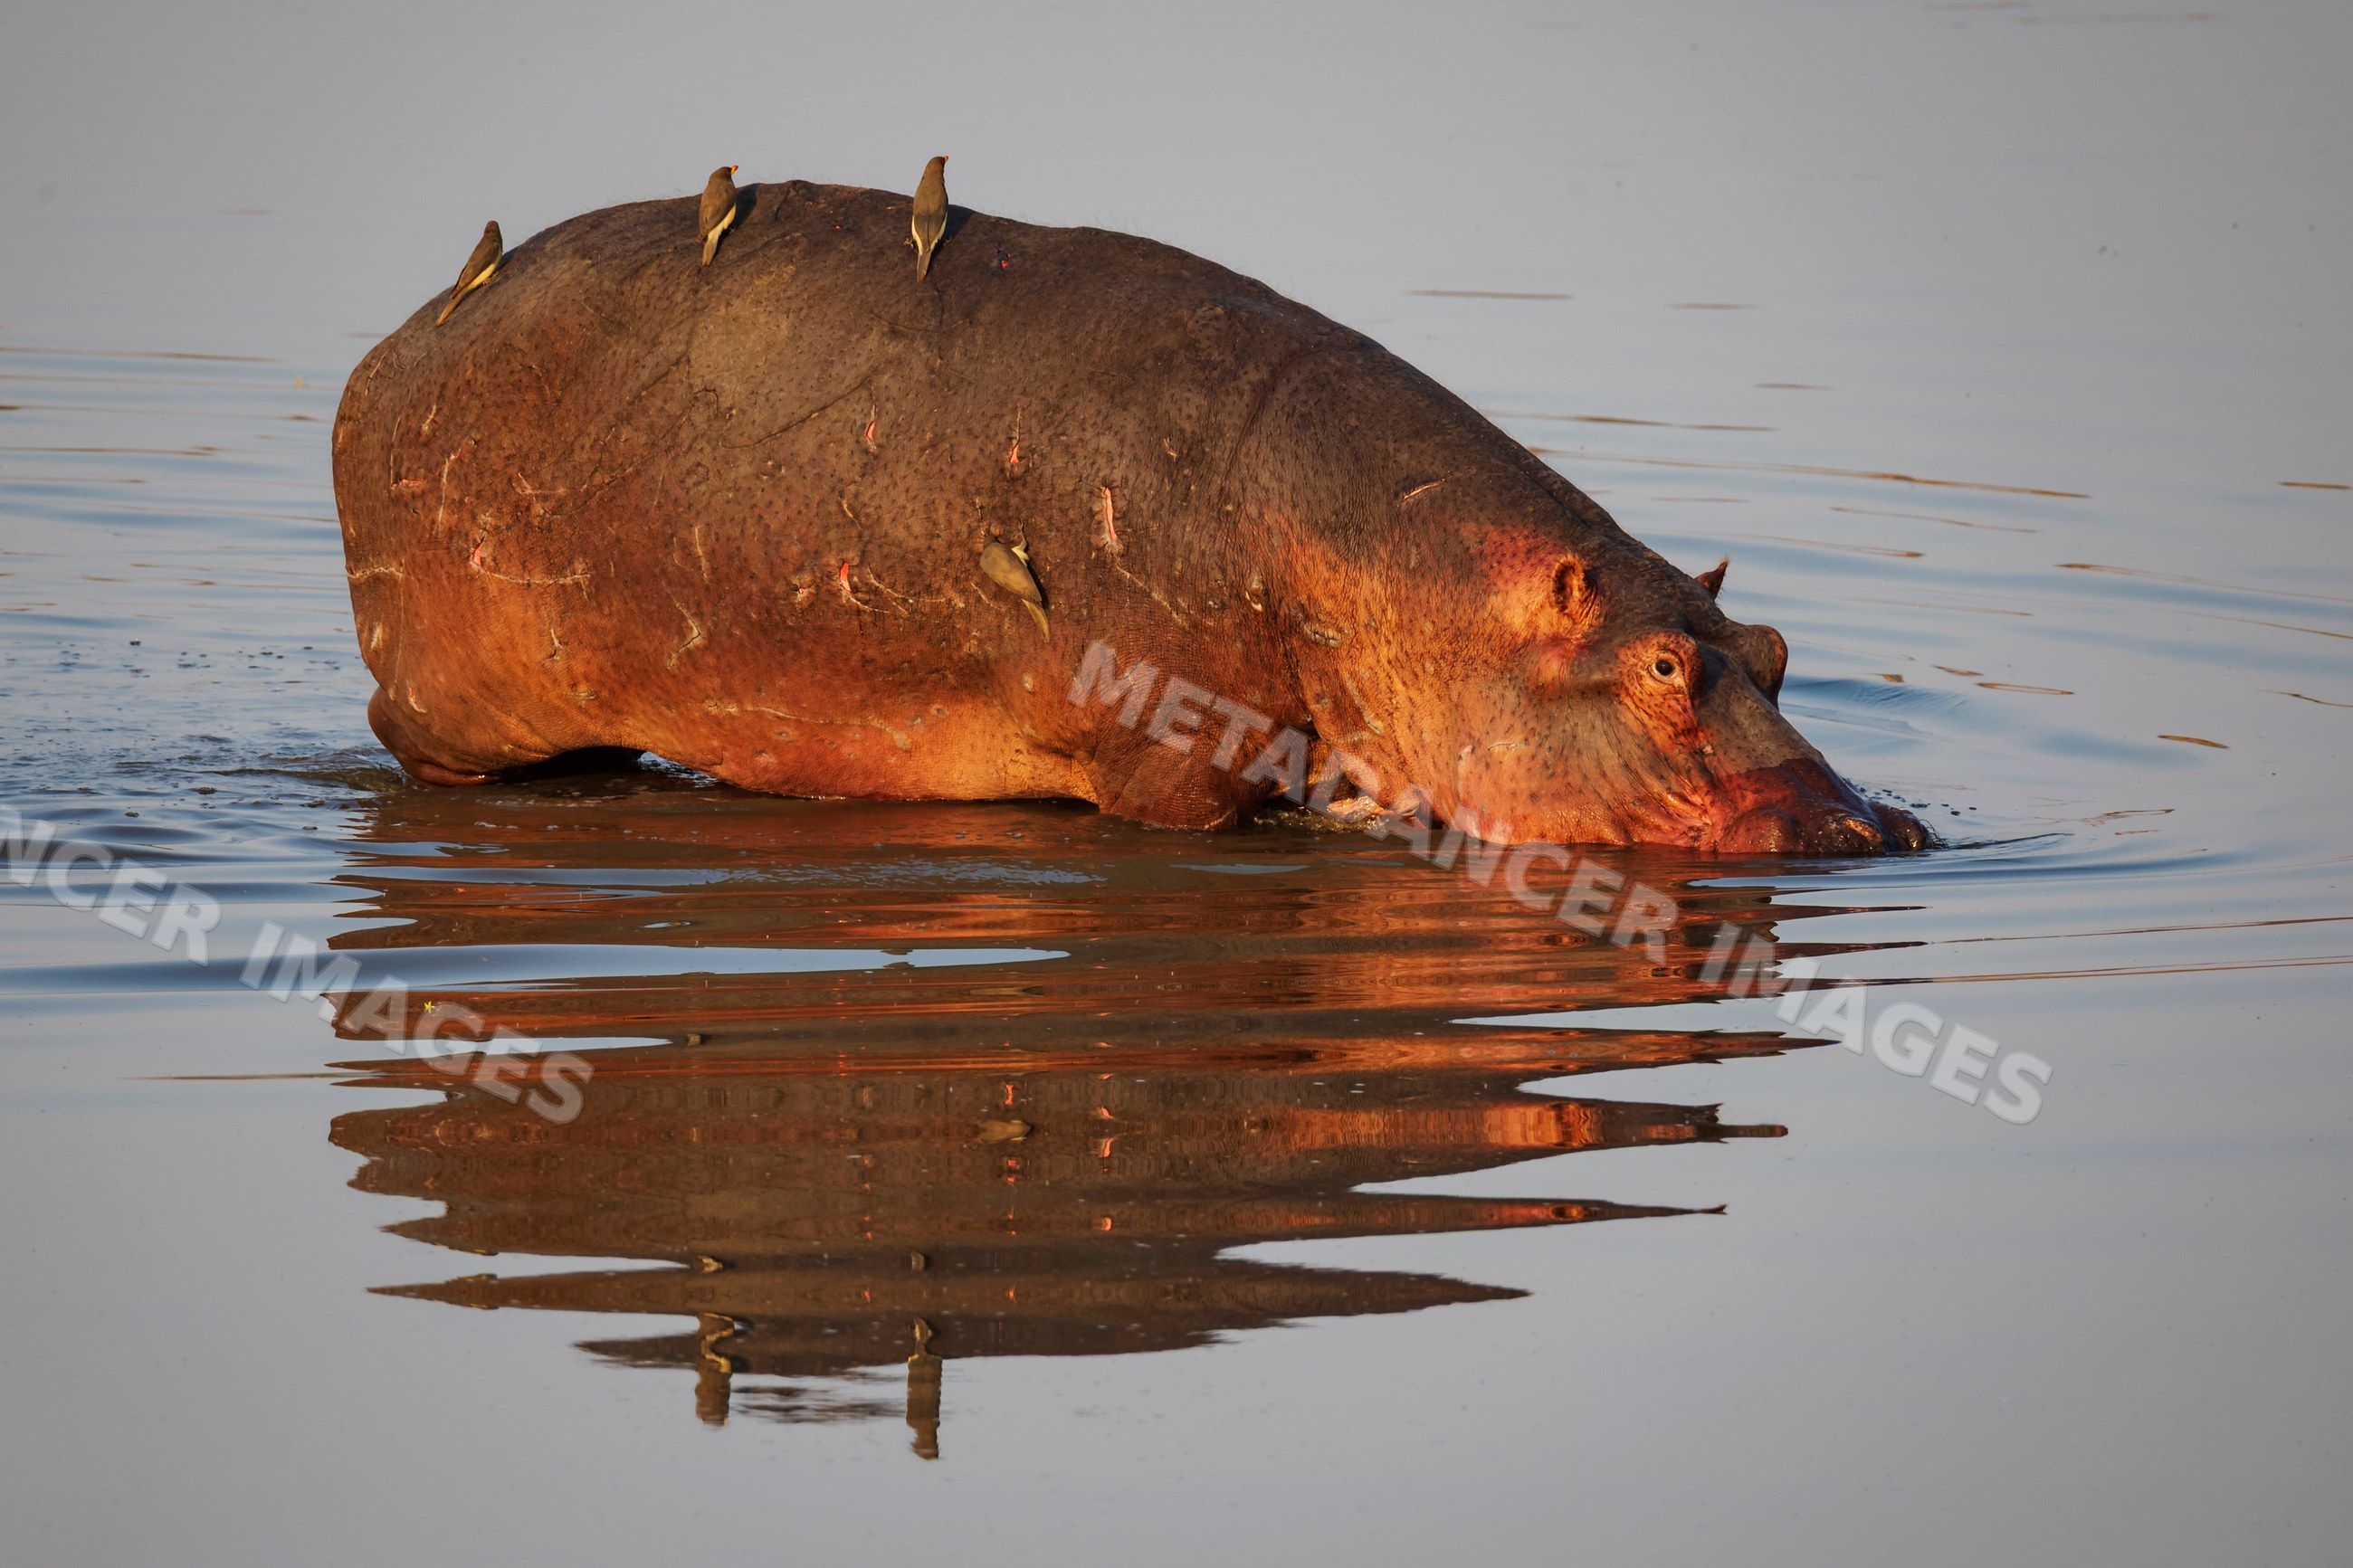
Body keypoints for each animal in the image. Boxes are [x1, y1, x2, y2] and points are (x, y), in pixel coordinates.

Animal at [333, 180, 1929, 855]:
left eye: (1776, 651)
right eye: (1661, 669)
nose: (1871, 828)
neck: (1405, 578)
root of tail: (388, 345)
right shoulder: (1172, 760)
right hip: (457, 695)